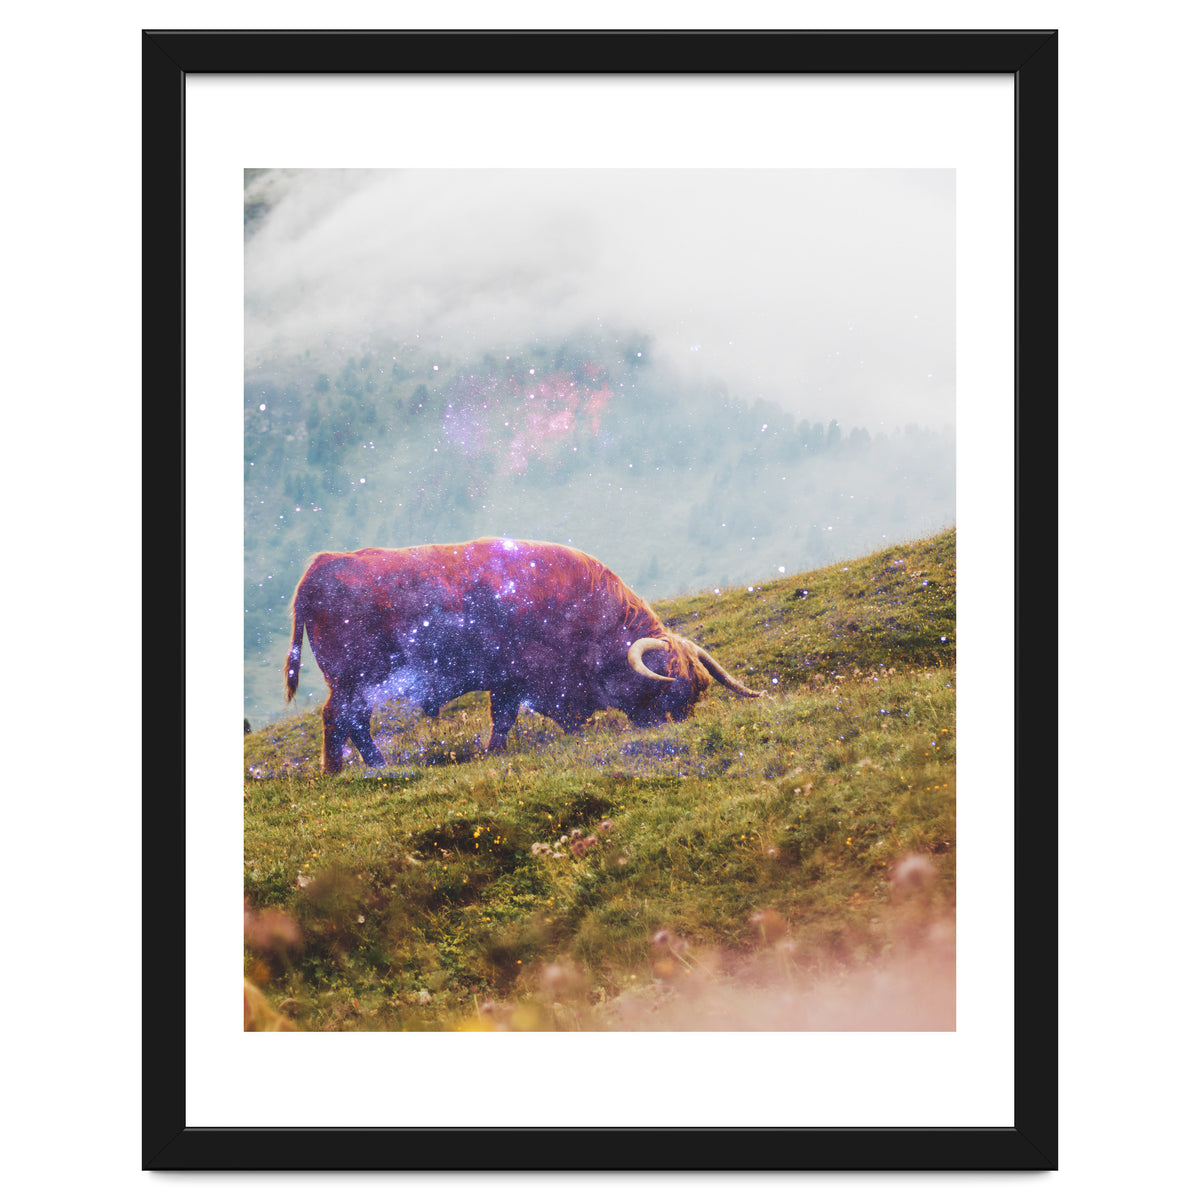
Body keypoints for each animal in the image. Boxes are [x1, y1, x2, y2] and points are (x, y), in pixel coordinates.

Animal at [284, 538, 762, 773]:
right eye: (671, 688)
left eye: (697, 689)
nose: (677, 727)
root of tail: (321, 565)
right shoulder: (523, 677)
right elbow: (510, 717)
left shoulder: (509, 682)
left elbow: (506, 718)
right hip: (355, 679)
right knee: (343, 719)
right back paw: (359, 768)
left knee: (347, 721)